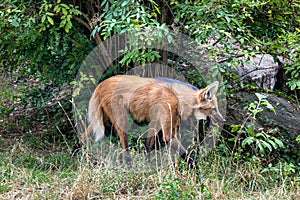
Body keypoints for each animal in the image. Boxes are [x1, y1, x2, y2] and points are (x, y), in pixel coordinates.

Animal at [71, 75, 224, 173]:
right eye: (213, 109)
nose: (223, 120)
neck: (180, 98)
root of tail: (101, 83)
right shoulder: (168, 131)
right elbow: (187, 156)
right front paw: (200, 175)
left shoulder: (155, 122)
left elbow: (148, 147)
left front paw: (147, 166)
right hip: (122, 120)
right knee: (125, 148)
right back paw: (129, 169)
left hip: (104, 117)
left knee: (84, 134)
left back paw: (72, 155)